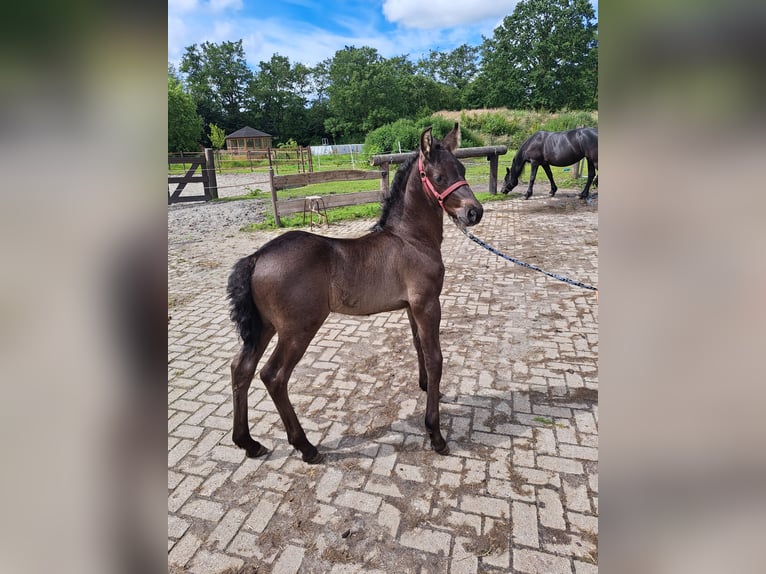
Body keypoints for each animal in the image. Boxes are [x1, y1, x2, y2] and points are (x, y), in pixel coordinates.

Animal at [225, 124, 484, 466]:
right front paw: (436, 434)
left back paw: (249, 443)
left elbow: (419, 348)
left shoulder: (411, 307)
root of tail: (256, 257)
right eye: (439, 177)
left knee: (241, 368)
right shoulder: (428, 304)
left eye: (463, 170)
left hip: (265, 327)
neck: (411, 239)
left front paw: (428, 388)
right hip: (298, 329)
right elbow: (435, 357)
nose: (474, 212)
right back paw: (306, 447)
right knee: (273, 376)